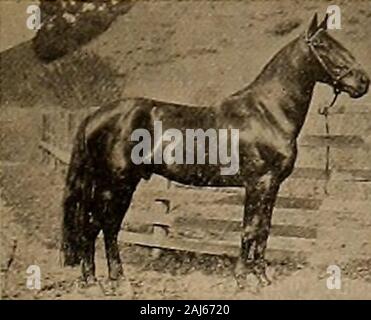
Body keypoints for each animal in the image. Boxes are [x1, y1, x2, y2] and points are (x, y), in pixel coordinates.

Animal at [61, 14, 370, 290]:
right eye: (322, 45)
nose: (363, 81)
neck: (267, 112)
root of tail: (94, 116)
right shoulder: (259, 182)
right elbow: (250, 229)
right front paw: (244, 280)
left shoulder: (272, 186)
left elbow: (264, 230)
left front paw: (262, 279)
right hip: (116, 183)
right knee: (105, 225)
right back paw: (116, 281)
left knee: (94, 226)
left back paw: (93, 280)